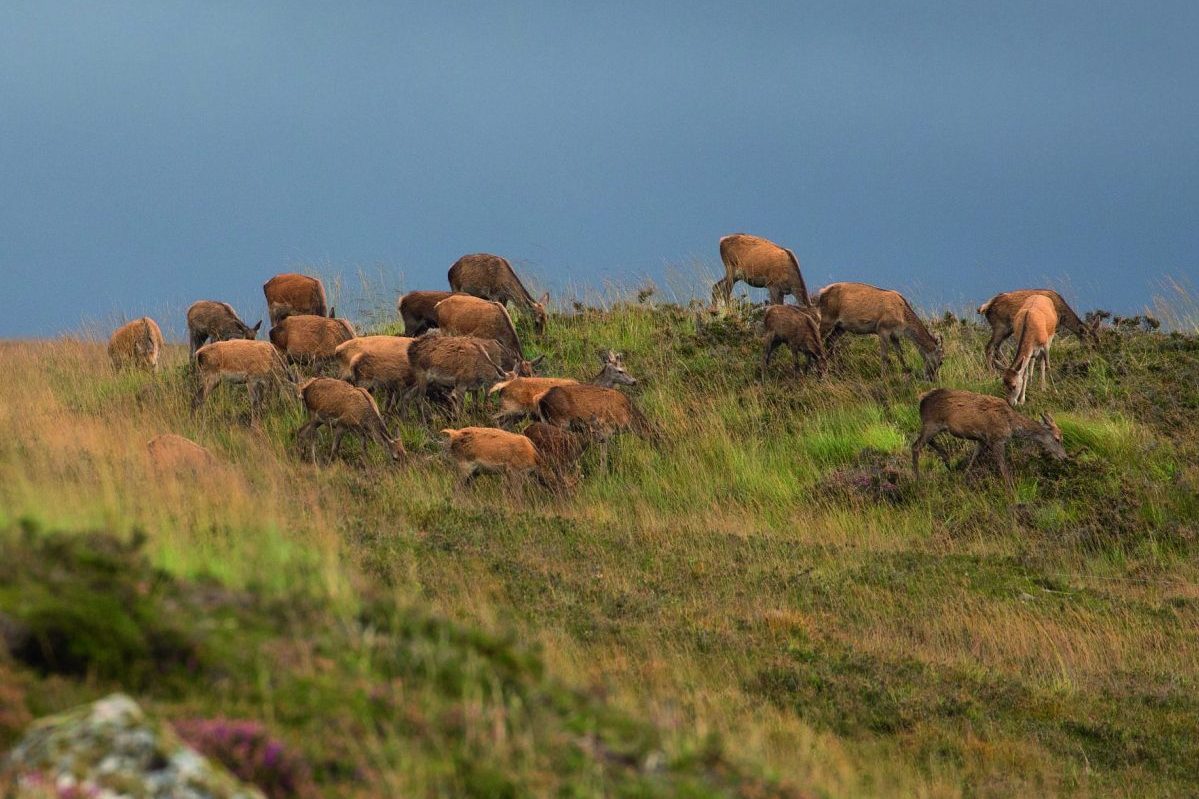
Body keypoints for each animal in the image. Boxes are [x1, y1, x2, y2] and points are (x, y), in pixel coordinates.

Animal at [489, 349, 636, 426]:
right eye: (619, 371)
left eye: (626, 368)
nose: (634, 381)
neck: (590, 384)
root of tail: (503, 388)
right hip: (511, 407)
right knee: (493, 418)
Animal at [911, 388, 1067, 485]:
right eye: (1057, 438)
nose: (1065, 457)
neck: (1011, 425)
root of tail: (921, 400)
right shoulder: (996, 439)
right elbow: (1003, 468)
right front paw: (1011, 488)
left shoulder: (982, 439)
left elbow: (974, 457)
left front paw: (963, 477)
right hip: (932, 423)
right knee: (916, 446)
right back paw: (917, 479)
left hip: (933, 425)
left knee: (927, 442)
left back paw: (946, 459)